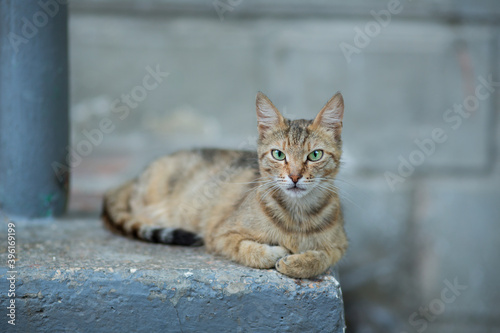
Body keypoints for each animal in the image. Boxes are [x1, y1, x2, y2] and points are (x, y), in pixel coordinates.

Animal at [101, 91, 348, 278]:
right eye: (278, 154)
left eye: (315, 155)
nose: (295, 177)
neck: (297, 216)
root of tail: (135, 177)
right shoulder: (220, 235)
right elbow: (249, 250)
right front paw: (276, 254)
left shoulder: (340, 245)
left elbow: (323, 257)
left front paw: (299, 263)